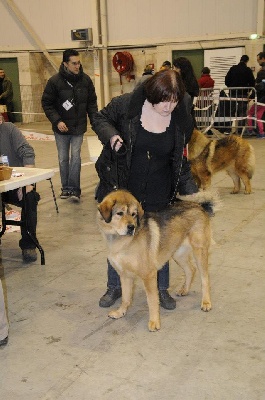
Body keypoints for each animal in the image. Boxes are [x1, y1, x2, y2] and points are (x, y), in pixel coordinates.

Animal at [96, 190, 213, 332]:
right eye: (120, 213)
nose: (131, 227)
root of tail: (199, 206)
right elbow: (125, 298)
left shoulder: (149, 275)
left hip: (199, 252)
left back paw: (206, 302)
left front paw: (154, 322)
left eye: (134, 214)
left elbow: (151, 301)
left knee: (205, 279)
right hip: (177, 253)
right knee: (191, 269)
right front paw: (120, 312)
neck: (122, 241)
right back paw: (184, 290)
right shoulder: (124, 275)